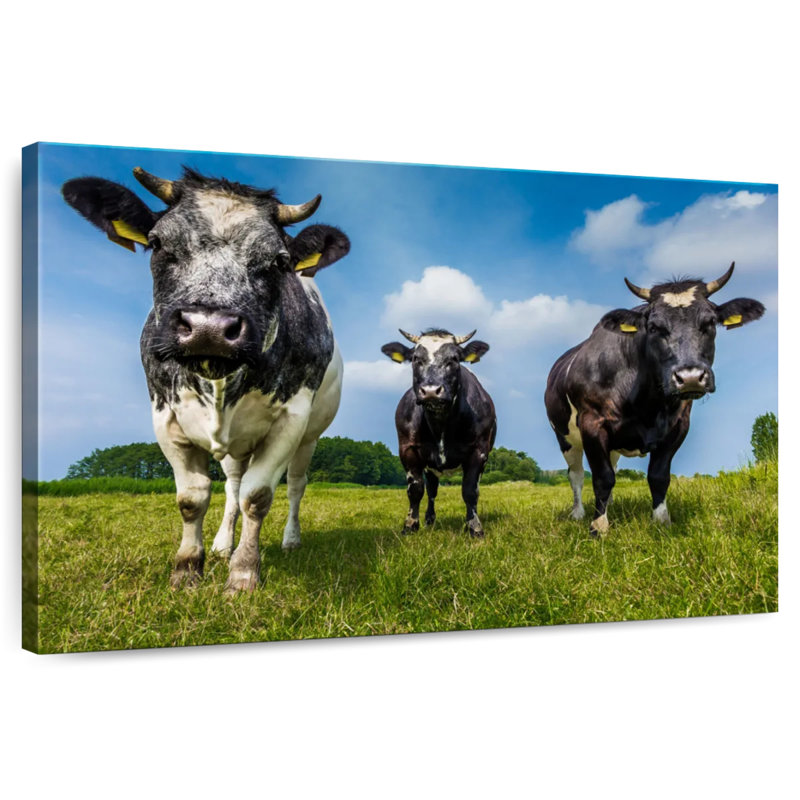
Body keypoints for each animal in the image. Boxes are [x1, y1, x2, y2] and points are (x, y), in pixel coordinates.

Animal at [62, 167, 350, 591]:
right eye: (157, 243)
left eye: (279, 260)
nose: (208, 329)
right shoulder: (165, 416)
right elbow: (193, 498)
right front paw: (187, 570)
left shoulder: (291, 420)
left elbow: (257, 497)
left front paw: (244, 574)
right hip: (236, 447)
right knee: (232, 485)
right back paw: (221, 544)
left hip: (309, 436)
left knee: (294, 485)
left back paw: (290, 540)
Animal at [381, 329, 497, 537]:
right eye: (415, 358)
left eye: (454, 359)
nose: (430, 391)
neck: (440, 424)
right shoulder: (408, 450)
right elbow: (416, 489)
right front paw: (410, 525)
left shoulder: (479, 451)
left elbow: (470, 491)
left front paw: (474, 528)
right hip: (431, 466)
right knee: (432, 491)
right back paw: (429, 520)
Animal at [544, 263, 764, 536]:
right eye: (654, 327)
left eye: (710, 322)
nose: (690, 377)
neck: (646, 404)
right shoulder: (592, 422)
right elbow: (601, 477)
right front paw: (599, 526)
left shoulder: (678, 426)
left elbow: (658, 476)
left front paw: (661, 521)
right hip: (565, 436)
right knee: (576, 474)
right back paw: (578, 513)